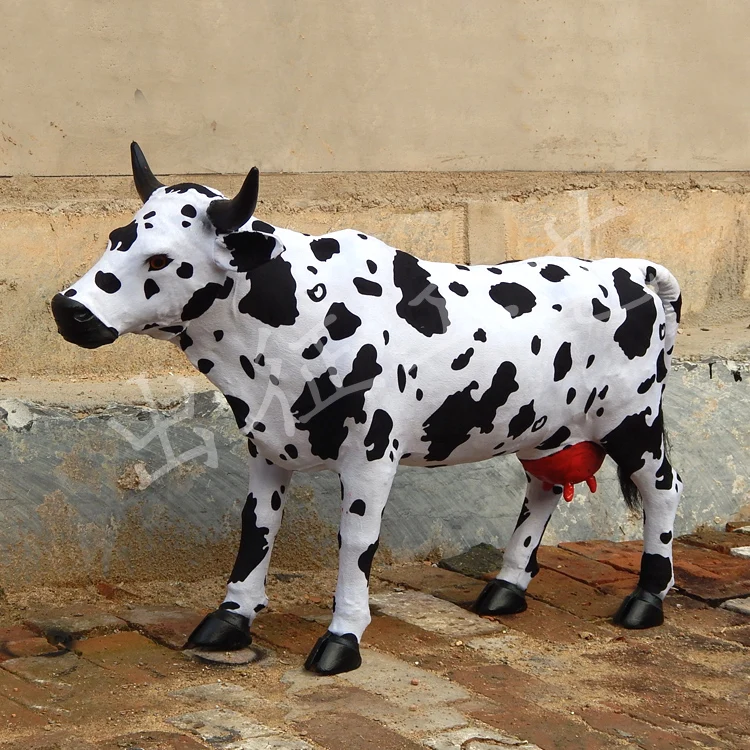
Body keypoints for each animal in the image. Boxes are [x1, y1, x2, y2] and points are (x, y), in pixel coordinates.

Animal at [51, 143, 683, 675]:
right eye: (115, 236)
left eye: (161, 258)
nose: (68, 308)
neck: (298, 316)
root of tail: (634, 270)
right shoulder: (265, 446)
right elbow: (256, 528)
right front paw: (233, 616)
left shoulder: (371, 455)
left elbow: (356, 542)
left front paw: (343, 635)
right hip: (544, 429)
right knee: (544, 489)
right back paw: (506, 586)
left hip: (633, 422)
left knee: (663, 488)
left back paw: (646, 598)